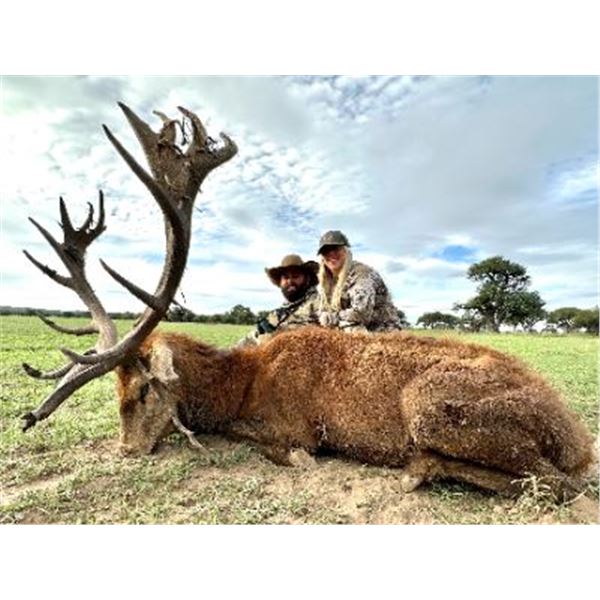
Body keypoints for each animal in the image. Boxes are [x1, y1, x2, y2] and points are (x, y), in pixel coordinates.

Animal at [22, 104, 596, 502]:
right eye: (117, 388)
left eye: (144, 389)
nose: (128, 449)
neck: (238, 386)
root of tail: (576, 439)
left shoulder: (290, 428)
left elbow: (278, 448)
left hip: (430, 406)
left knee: (555, 484)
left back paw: (420, 468)